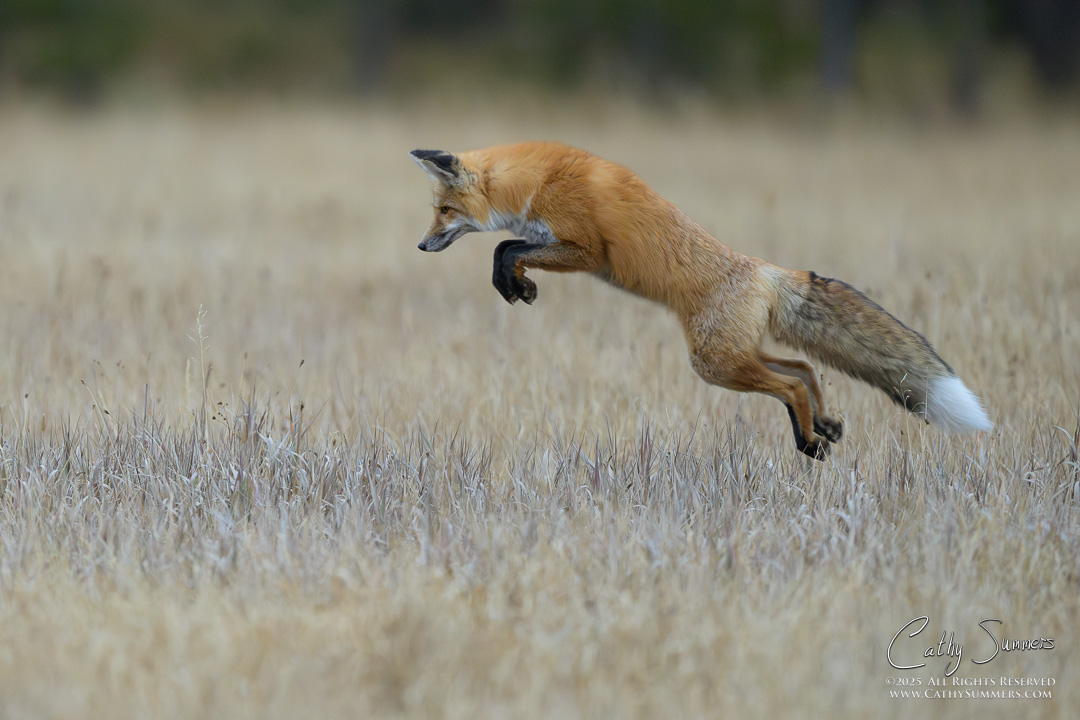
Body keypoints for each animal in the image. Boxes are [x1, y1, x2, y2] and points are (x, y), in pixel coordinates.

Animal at [410, 142, 992, 459]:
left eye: (443, 211)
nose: (419, 246)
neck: (536, 180)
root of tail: (763, 270)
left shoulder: (585, 249)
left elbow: (506, 247)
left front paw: (516, 284)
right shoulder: (562, 246)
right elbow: (509, 247)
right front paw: (518, 285)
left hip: (714, 362)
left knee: (789, 383)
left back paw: (808, 440)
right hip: (731, 354)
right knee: (804, 368)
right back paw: (820, 428)